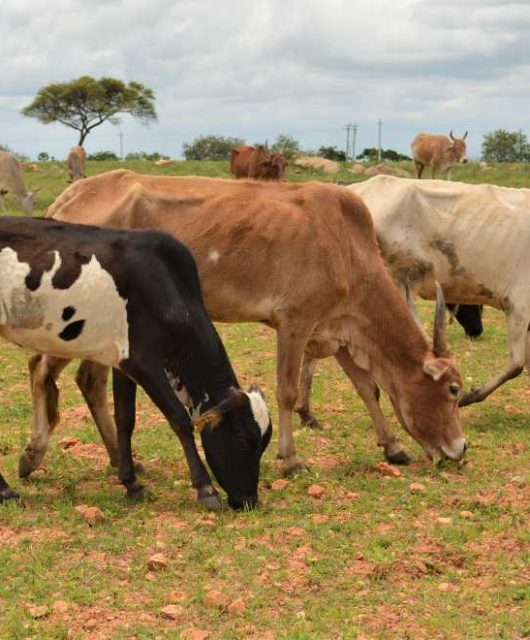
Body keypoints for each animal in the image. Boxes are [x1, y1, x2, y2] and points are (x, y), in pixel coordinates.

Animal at [0, 219, 270, 510]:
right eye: (242, 439)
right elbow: (180, 419)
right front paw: (206, 489)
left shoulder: (124, 364)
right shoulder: (144, 363)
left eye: (264, 443)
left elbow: (125, 420)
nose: (249, 500)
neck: (167, 288)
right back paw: (7, 491)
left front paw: (132, 484)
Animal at [16, 168, 464, 478]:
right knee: (41, 369)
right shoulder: (295, 322)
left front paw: (392, 446)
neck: (346, 247)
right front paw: (290, 458)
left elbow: (368, 389)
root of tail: (71, 197)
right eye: (454, 390)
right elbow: (287, 391)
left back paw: (115, 458)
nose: (460, 450)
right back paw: (33, 454)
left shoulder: (337, 332)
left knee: (86, 381)